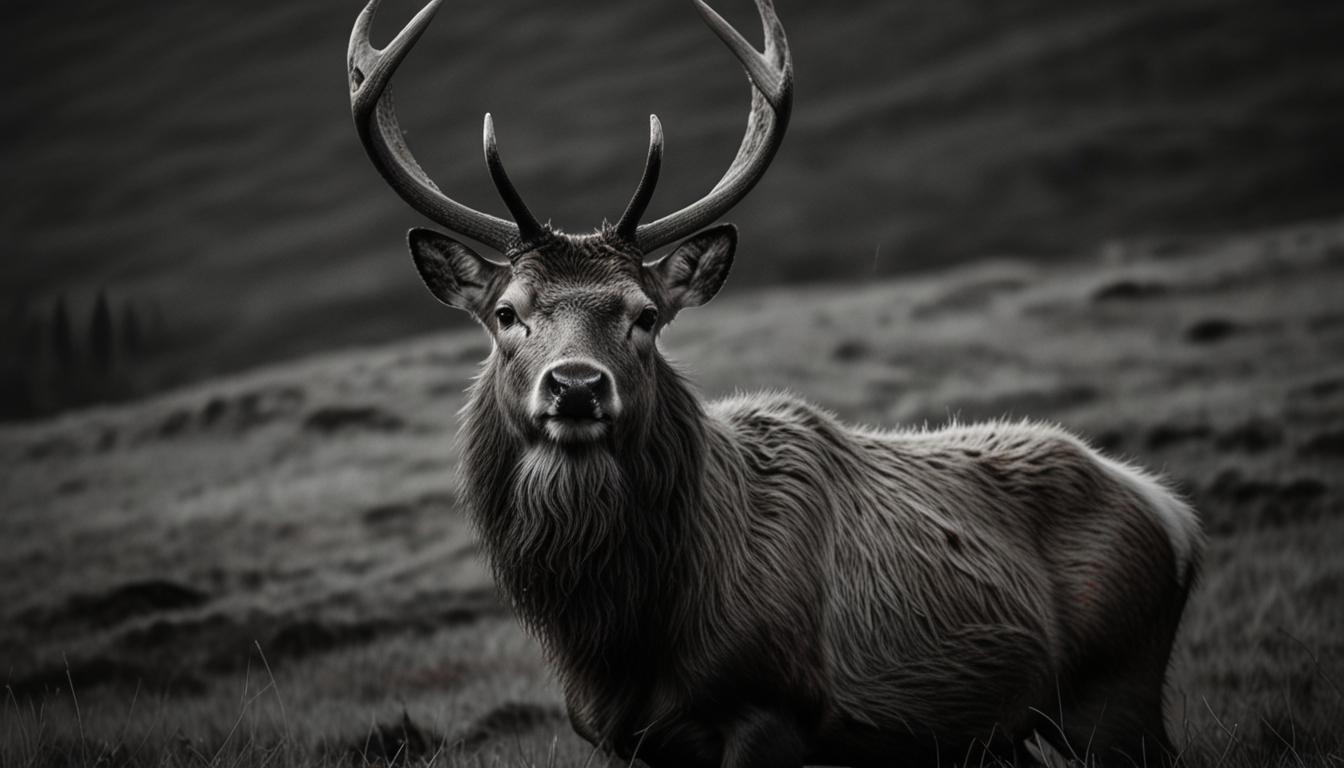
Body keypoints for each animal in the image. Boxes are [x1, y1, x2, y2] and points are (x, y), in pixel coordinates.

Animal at [347, 0, 1203, 765]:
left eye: (646, 315)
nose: (578, 387)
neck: (620, 643)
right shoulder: (623, 742)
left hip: (1113, 690)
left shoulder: (770, 706)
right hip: (997, 737)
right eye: (506, 313)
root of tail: (1172, 513)